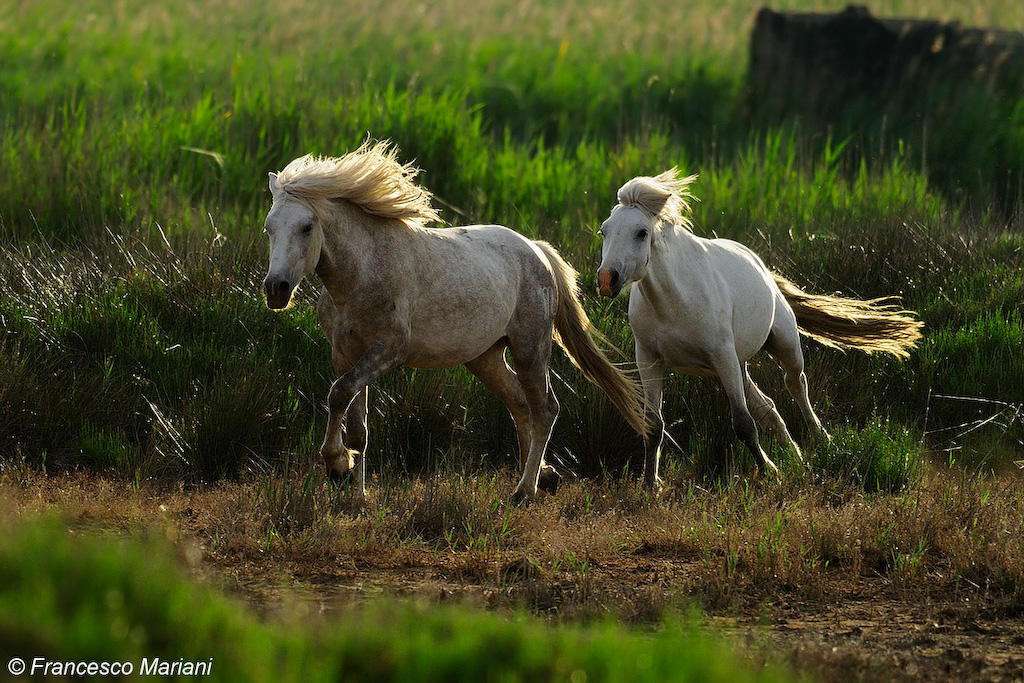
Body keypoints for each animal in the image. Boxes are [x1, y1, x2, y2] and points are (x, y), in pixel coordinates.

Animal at [264, 140, 647, 501]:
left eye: (306, 227)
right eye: (268, 228)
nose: (275, 289)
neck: (361, 273)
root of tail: (537, 249)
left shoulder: (387, 350)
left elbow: (338, 393)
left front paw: (337, 464)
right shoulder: (345, 353)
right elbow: (356, 424)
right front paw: (355, 493)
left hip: (530, 348)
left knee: (545, 409)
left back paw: (524, 491)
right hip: (485, 358)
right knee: (521, 405)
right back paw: (544, 477)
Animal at [593, 171, 921, 491]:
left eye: (641, 232)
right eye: (604, 231)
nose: (607, 279)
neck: (673, 301)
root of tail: (762, 266)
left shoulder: (722, 356)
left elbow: (742, 423)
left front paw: (769, 472)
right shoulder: (649, 360)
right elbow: (654, 425)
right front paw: (651, 484)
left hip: (783, 345)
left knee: (796, 385)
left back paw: (820, 441)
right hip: (735, 366)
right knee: (768, 407)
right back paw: (796, 456)